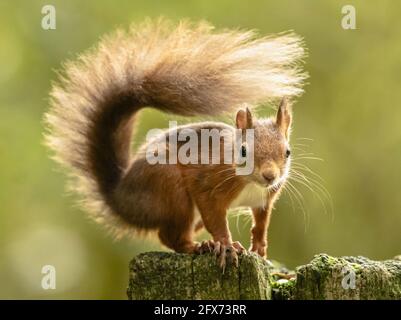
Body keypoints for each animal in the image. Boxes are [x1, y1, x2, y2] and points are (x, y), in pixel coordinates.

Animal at [44, 18, 306, 268]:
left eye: (287, 152)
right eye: (243, 151)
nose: (270, 176)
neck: (247, 180)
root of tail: (121, 197)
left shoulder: (265, 200)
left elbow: (261, 224)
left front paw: (260, 250)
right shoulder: (207, 185)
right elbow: (216, 220)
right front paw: (226, 246)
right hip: (171, 189)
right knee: (171, 237)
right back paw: (201, 247)